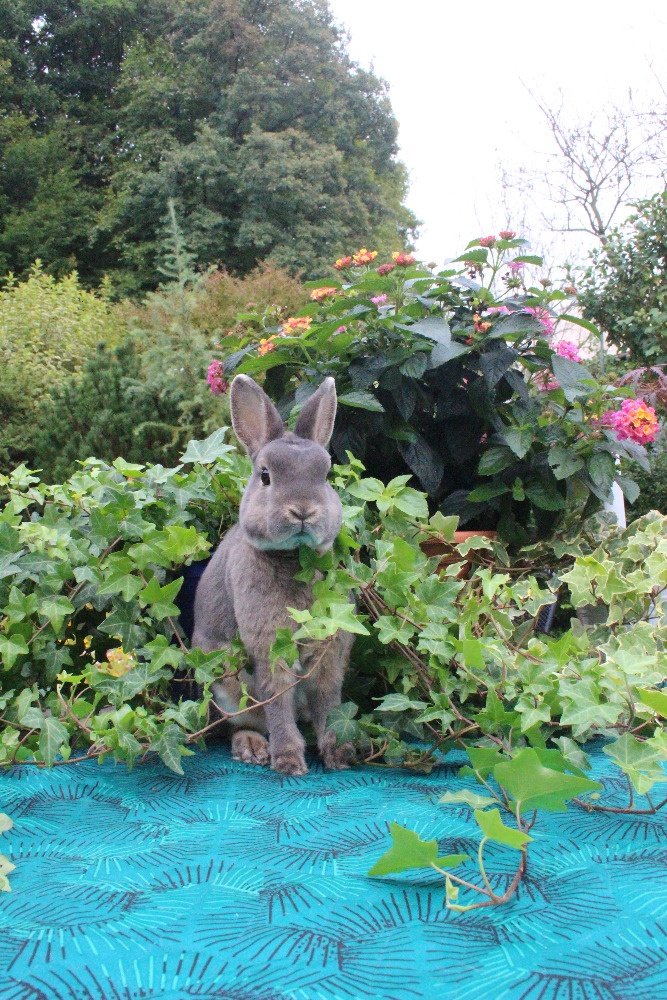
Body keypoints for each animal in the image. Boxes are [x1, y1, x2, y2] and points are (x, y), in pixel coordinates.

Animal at [193, 374, 354, 772]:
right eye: (265, 476)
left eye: (325, 475)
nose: (303, 511)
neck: (295, 559)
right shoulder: (268, 645)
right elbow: (277, 702)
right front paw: (289, 762)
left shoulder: (329, 649)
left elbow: (328, 700)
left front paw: (339, 754)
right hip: (226, 686)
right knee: (241, 723)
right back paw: (253, 748)